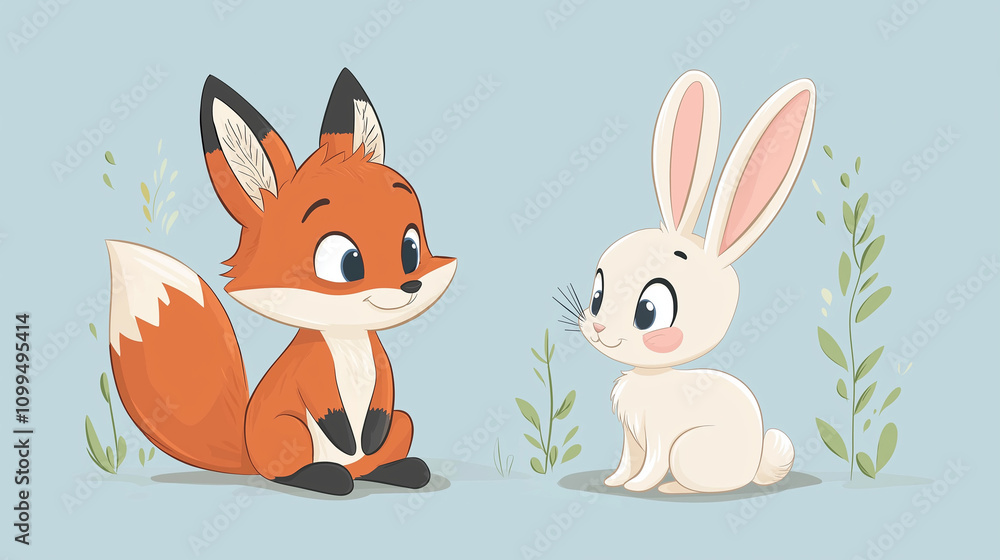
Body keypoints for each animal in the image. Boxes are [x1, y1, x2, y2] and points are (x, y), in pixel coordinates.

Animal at [105, 69, 457, 496]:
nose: (410, 288)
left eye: (410, 250)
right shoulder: (310, 370)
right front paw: (345, 437)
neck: (349, 339)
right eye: (348, 263)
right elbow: (324, 402)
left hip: (401, 422)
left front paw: (368, 438)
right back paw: (328, 476)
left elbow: (382, 398)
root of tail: (248, 455)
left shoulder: (381, 367)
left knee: (380, 453)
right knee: (290, 472)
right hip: (289, 430)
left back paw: (399, 469)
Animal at [572, 70, 816, 494]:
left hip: (688, 450)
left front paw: (637, 487)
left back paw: (673, 488)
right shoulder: (631, 435)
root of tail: (754, 467)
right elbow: (626, 459)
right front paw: (615, 481)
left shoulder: (659, 436)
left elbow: (650, 464)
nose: (599, 328)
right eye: (597, 295)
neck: (650, 377)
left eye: (648, 311)